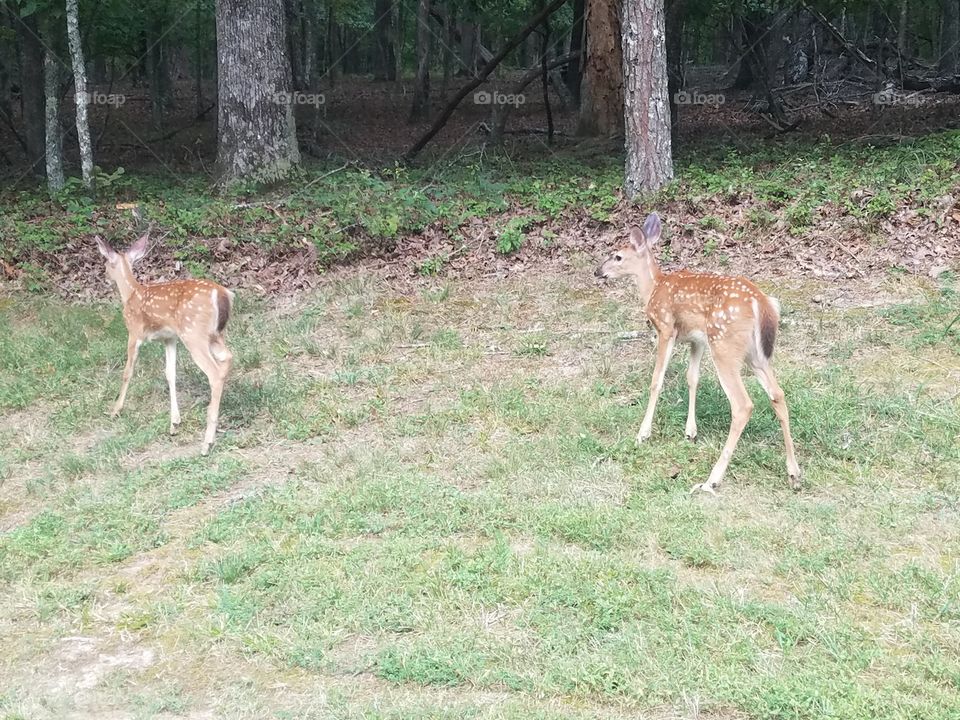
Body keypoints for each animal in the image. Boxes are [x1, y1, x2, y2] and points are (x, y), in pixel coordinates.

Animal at [95, 230, 234, 456]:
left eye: (106, 263)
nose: (104, 276)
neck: (130, 294)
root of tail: (222, 293)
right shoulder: (169, 338)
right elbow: (170, 373)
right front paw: (174, 424)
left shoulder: (133, 332)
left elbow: (127, 372)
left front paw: (115, 410)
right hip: (214, 335)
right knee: (227, 358)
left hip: (194, 333)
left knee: (213, 372)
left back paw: (207, 442)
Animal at [595, 213, 801, 494]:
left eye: (617, 256)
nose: (598, 271)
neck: (653, 288)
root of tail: (761, 303)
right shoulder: (697, 340)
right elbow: (692, 378)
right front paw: (690, 431)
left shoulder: (665, 328)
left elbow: (657, 380)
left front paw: (643, 433)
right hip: (754, 354)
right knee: (778, 394)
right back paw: (794, 474)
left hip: (724, 345)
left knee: (743, 404)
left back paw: (712, 479)